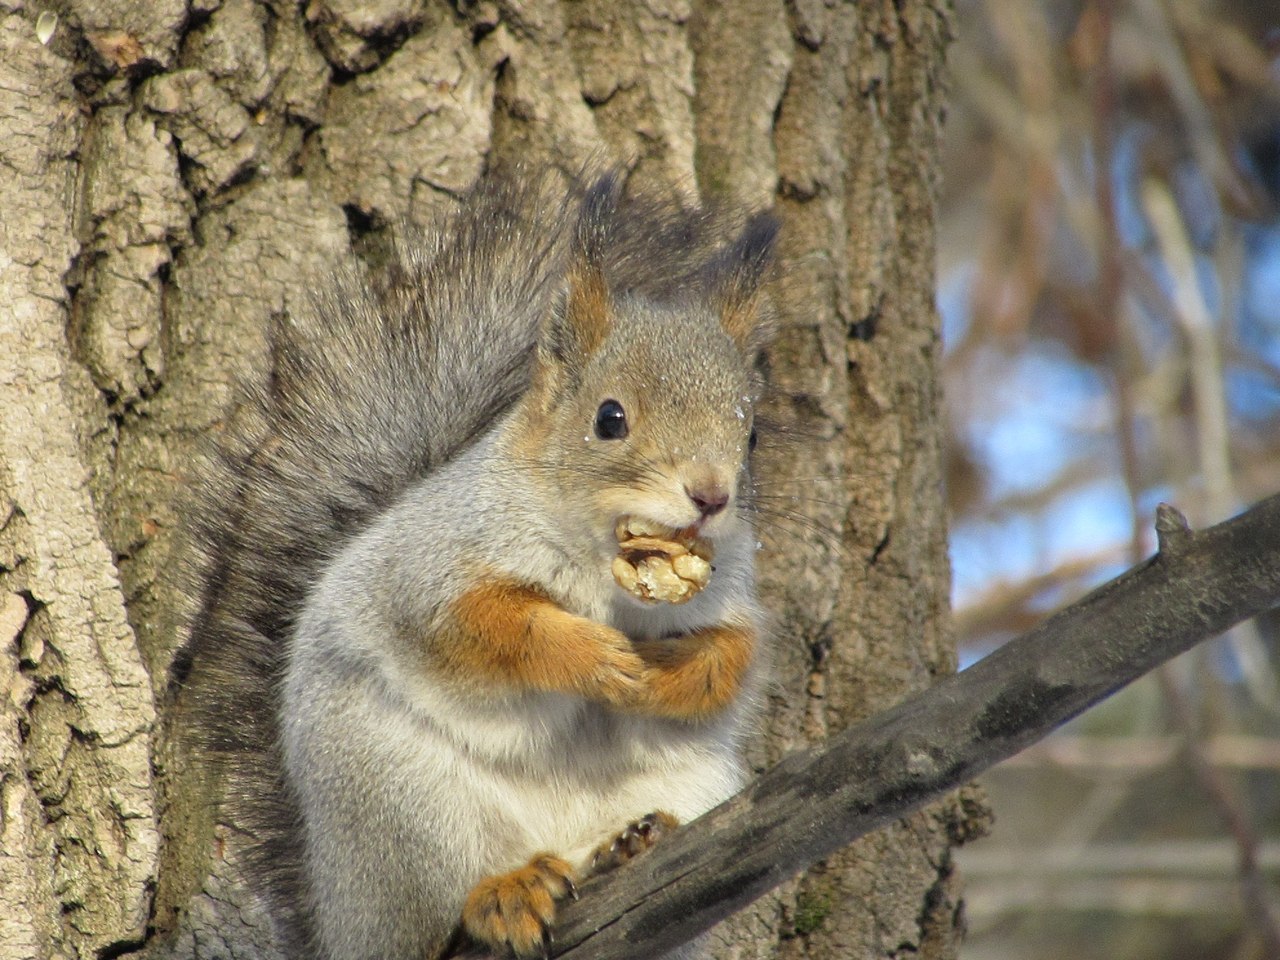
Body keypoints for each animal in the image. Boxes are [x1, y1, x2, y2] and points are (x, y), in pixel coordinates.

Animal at [172, 172, 778, 960]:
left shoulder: (730, 591)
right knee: (442, 910)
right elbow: (488, 627)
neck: (603, 570)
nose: (710, 496)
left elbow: (731, 658)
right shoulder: (434, 565)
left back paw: (630, 843)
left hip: (693, 786)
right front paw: (592, 656)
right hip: (403, 803)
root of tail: (341, 921)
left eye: (752, 434)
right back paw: (506, 892)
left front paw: (664, 675)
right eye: (609, 418)